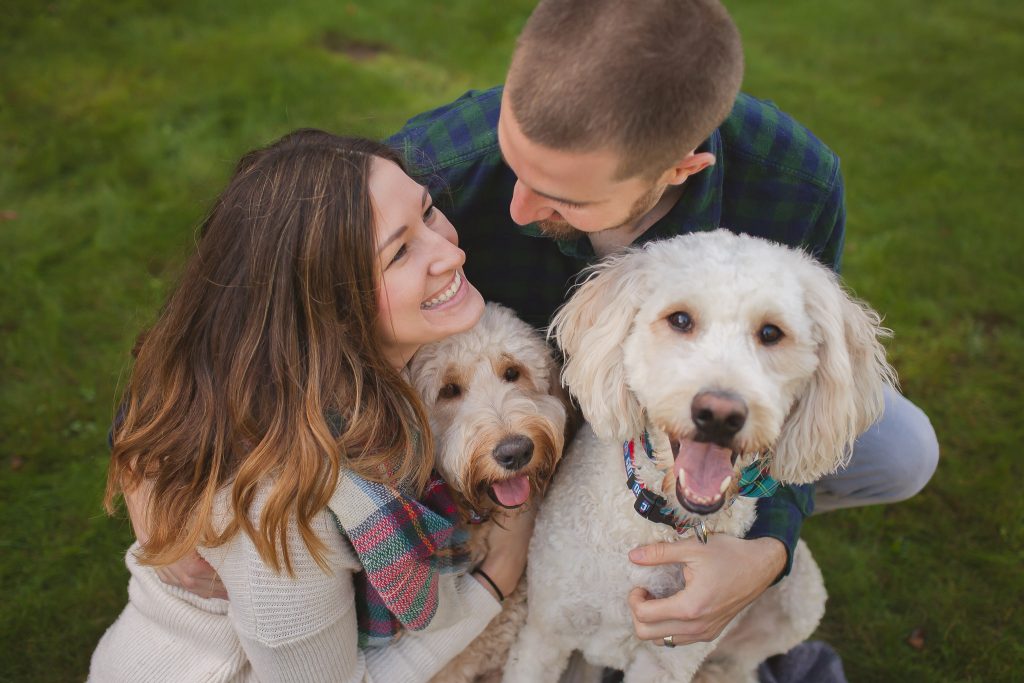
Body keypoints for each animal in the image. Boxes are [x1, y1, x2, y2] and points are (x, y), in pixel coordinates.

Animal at [503, 231, 897, 683]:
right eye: (679, 320)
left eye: (771, 332)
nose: (720, 415)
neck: (662, 522)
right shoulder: (544, 633)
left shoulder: (668, 659)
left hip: (800, 596)